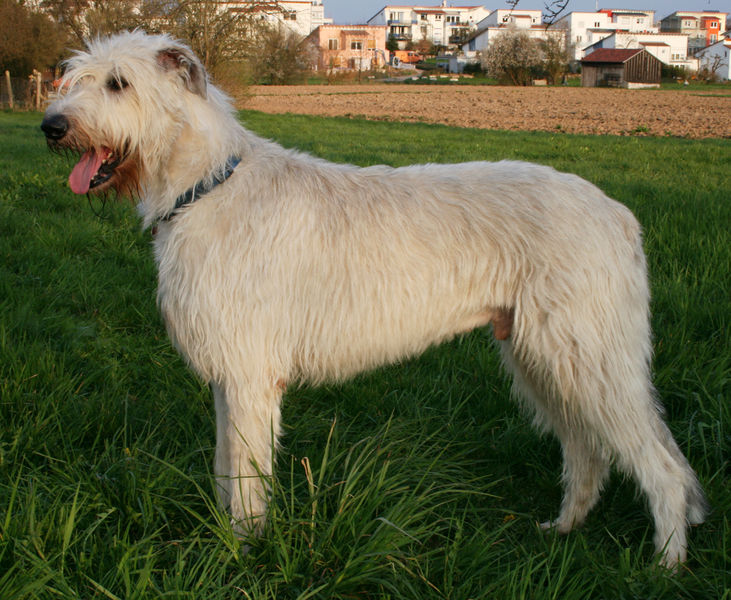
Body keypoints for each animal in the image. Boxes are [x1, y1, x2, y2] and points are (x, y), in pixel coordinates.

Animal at [38, 31, 704, 568]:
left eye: (119, 82)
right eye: (75, 76)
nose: (52, 127)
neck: (205, 186)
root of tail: (621, 216)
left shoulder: (250, 376)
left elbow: (248, 482)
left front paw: (242, 554)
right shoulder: (232, 378)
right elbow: (228, 468)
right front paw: (229, 538)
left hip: (585, 353)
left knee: (660, 465)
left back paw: (665, 563)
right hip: (545, 356)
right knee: (589, 451)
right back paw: (563, 528)